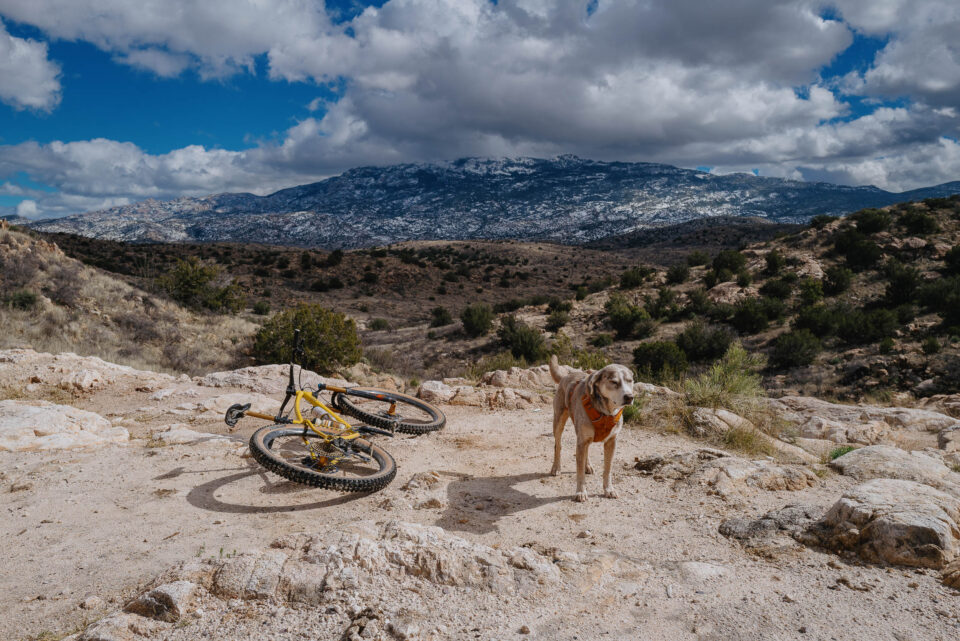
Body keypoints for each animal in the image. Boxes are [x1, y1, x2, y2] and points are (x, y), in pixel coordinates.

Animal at [552, 356, 632, 500]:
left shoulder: (611, 441)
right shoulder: (581, 441)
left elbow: (608, 469)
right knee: (558, 445)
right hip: (559, 422)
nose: (629, 397)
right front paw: (580, 492)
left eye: (630, 381)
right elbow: (579, 473)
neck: (606, 412)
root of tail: (567, 375)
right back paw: (556, 467)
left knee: (586, 449)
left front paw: (609, 489)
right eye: (614, 382)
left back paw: (587, 465)